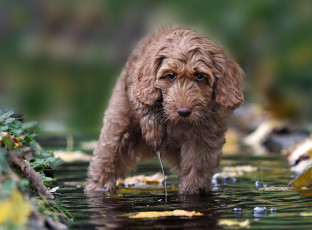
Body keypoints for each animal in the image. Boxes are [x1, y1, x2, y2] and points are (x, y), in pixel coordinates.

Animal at [86, 27, 244, 195]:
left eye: (200, 76)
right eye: (171, 76)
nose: (183, 111)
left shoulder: (204, 138)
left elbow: (196, 165)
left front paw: (191, 189)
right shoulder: (136, 82)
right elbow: (141, 99)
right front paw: (153, 131)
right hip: (118, 121)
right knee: (107, 155)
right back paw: (99, 187)